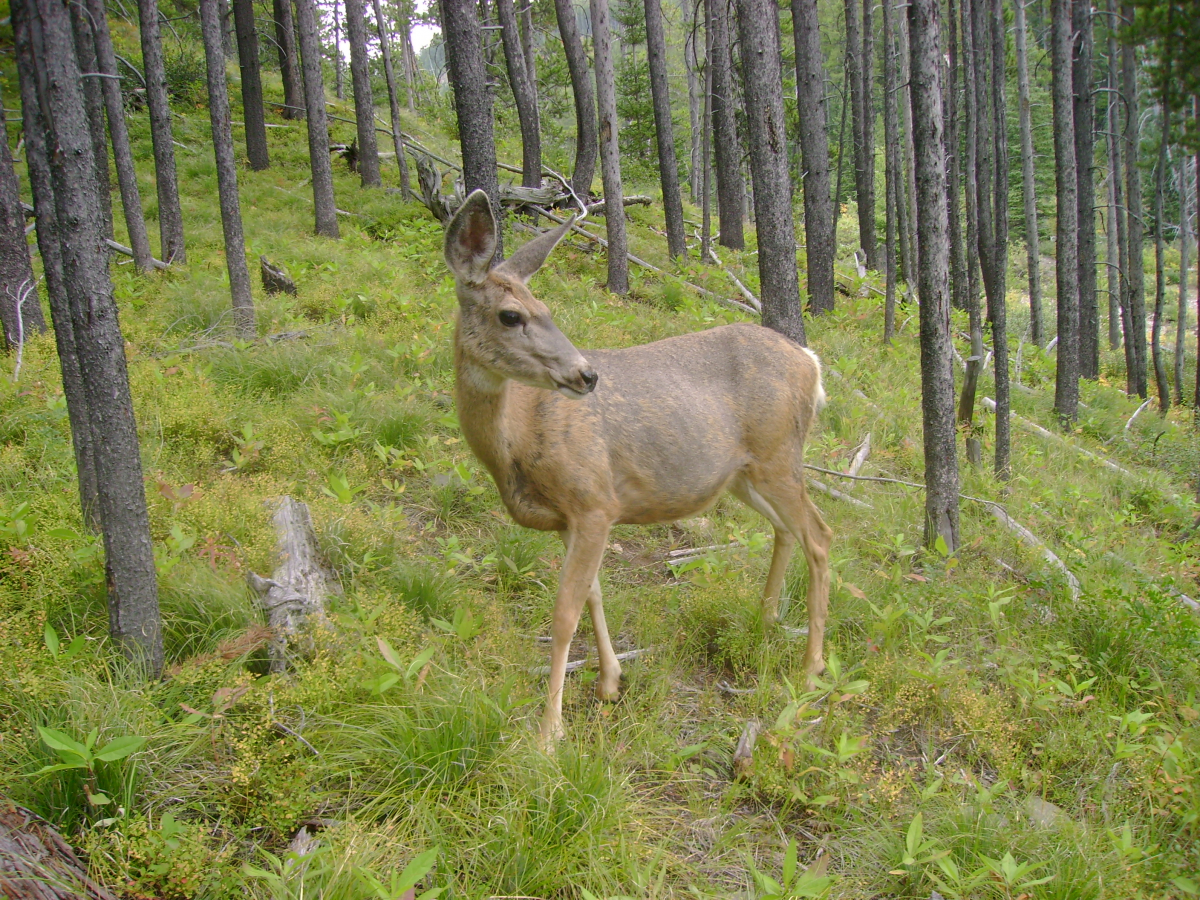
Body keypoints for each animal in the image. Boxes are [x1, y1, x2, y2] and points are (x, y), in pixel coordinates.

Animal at [446, 188, 830, 739]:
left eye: (546, 308)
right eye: (511, 316)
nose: (586, 374)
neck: (516, 441)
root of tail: (811, 362)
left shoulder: (593, 500)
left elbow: (564, 613)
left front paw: (549, 733)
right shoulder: (569, 517)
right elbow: (593, 595)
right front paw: (610, 683)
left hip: (779, 455)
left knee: (820, 536)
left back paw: (812, 664)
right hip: (744, 474)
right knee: (787, 530)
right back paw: (766, 619)